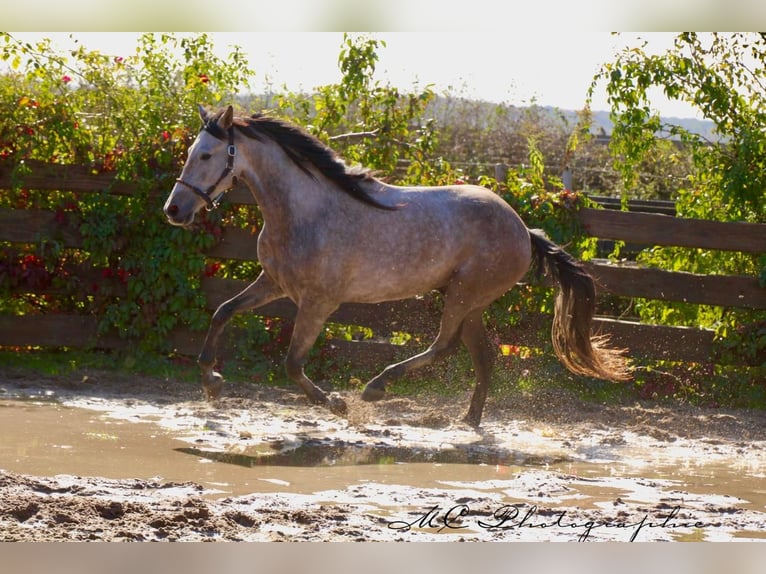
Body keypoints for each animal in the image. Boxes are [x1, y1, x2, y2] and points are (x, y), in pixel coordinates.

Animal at [163, 104, 630, 427]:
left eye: (207, 155)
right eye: (189, 152)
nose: (174, 210)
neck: (304, 212)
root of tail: (522, 228)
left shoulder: (319, 302)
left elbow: (292, 363)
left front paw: (336, 404)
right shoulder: (274, 283)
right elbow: (223, 311)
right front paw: (212, 382)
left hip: (464, 294)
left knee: (444, 346)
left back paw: (377, 388)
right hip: (471, 300)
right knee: (482, 356)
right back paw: (468, 421)